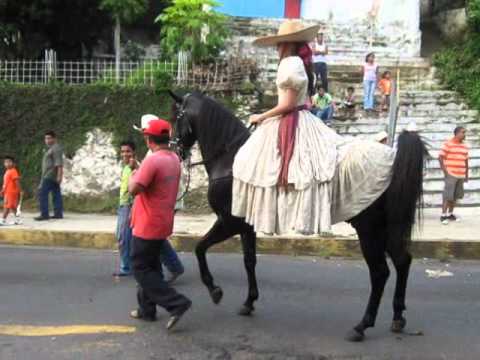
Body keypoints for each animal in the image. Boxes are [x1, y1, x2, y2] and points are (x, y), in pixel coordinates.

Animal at [169, 90, 428, 340]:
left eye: (175, 117)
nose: (173, 150)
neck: (230, 159)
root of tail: (392, 159)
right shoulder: (245, 226)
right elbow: (249, 260)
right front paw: (249, 301)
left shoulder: (228, 222)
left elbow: (200, 248)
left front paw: (214, 290)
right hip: (387, 227)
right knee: (402, 261)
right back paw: (397, 317)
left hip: (369, 229)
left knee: (380, 272)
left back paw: (362, 326)